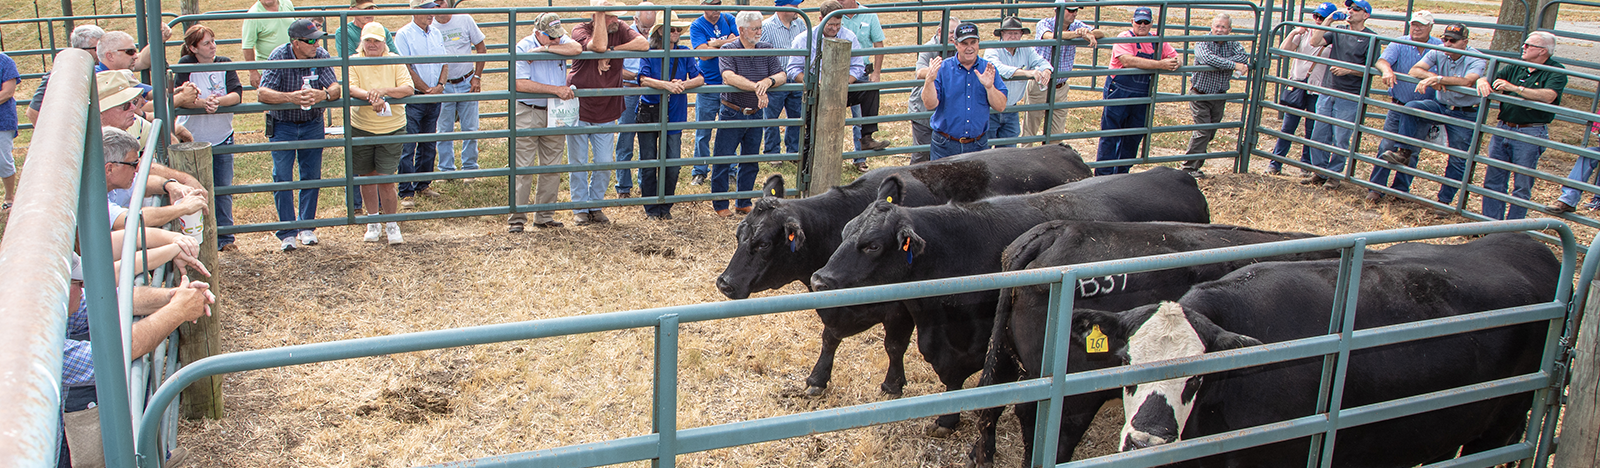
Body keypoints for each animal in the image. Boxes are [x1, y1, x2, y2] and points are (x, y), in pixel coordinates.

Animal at [720, 144, 1094, 397]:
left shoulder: (900, 306)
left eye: (763, 243)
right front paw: (817, 380)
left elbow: (894, 345)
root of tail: (1063, 150)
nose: (725, 283)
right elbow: (829, 338)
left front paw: (892, 384)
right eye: (738, 235)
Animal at [806, 166, 1203, 435]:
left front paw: (948, 419)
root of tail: (1176, 175)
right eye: (844, 232)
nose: (819, 279)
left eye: (872, 245)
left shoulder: (997, 347)